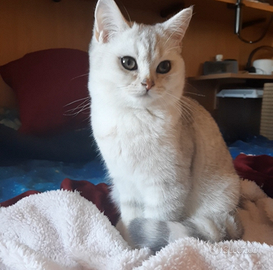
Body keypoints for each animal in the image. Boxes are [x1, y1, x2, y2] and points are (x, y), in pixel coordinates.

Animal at [88, 0, 241, 252]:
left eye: (164, 67)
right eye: (128, 63)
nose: (148, 83)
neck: (135, 120)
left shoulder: (167, 187)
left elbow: (154, 221)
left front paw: (145, 251)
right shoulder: (125, 185)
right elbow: (131, 217)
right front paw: (127, 243)